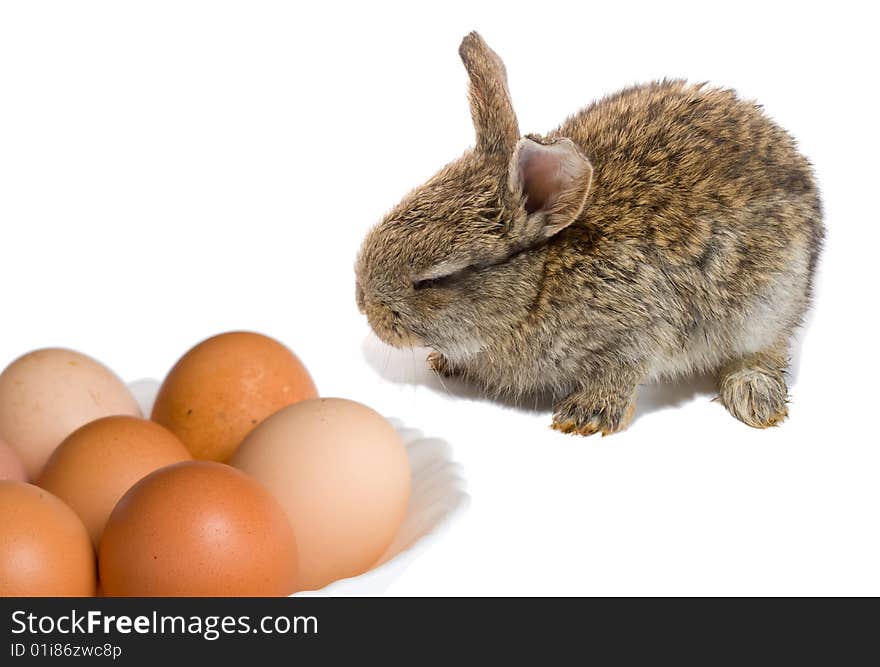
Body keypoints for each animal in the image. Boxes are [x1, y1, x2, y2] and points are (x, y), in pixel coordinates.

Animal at [354, 31, 820, 438]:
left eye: (432, 281)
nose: (364, 306)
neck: (538, 285)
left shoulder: (636, 327)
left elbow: (622, 371)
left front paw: (585, 416)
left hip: (768, 305)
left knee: (768, 348)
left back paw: (754, 394)